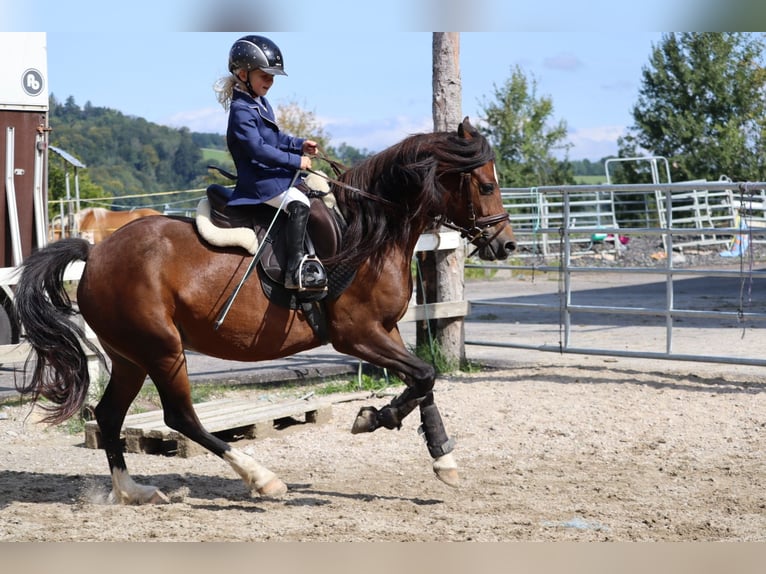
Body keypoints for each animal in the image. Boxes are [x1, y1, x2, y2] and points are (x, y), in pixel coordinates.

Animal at [12, 117, 516, 504]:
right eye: (486, 184)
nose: (507, 245)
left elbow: (424, 379)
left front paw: (438, 456)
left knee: (109, 415)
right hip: (162, 349)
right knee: (180, 417)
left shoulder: (385, 331)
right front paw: (377, 418)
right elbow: (425, 375)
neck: (369, 232)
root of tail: (95, 255)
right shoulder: (356, 334)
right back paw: (263, 479)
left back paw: (132, 491)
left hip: (131, 356)